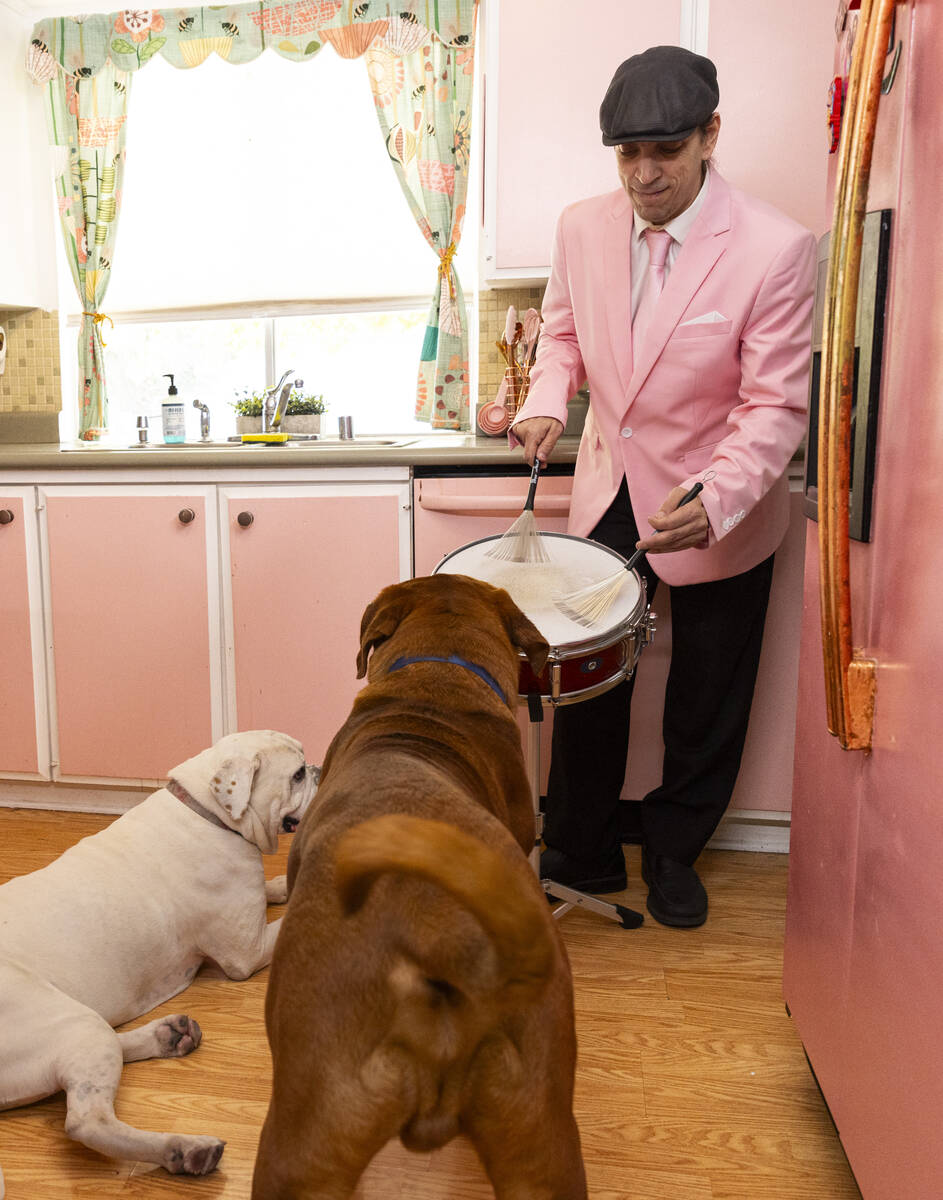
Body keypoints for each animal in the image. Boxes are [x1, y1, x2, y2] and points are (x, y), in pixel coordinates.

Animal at [0, 724, 316, 1185]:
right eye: (296, 775)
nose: (319, 768)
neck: (208, 811)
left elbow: (276, 890)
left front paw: (282, 885)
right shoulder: (248, 950)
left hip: (74, 1027)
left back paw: (168, 1035)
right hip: (68, 1021)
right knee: (87, 1121)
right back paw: (185, 1149)